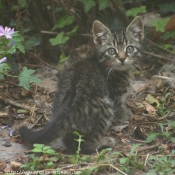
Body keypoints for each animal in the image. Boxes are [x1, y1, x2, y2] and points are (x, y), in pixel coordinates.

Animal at [19, 16, 144, 153]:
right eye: (111, 51)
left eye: (129, 49)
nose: (122, 59)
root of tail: (66, 107)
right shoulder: (115, 97)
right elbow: (120, 110)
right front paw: (127, 115)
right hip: (104, 105)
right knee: (85, 145)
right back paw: (104, 142)